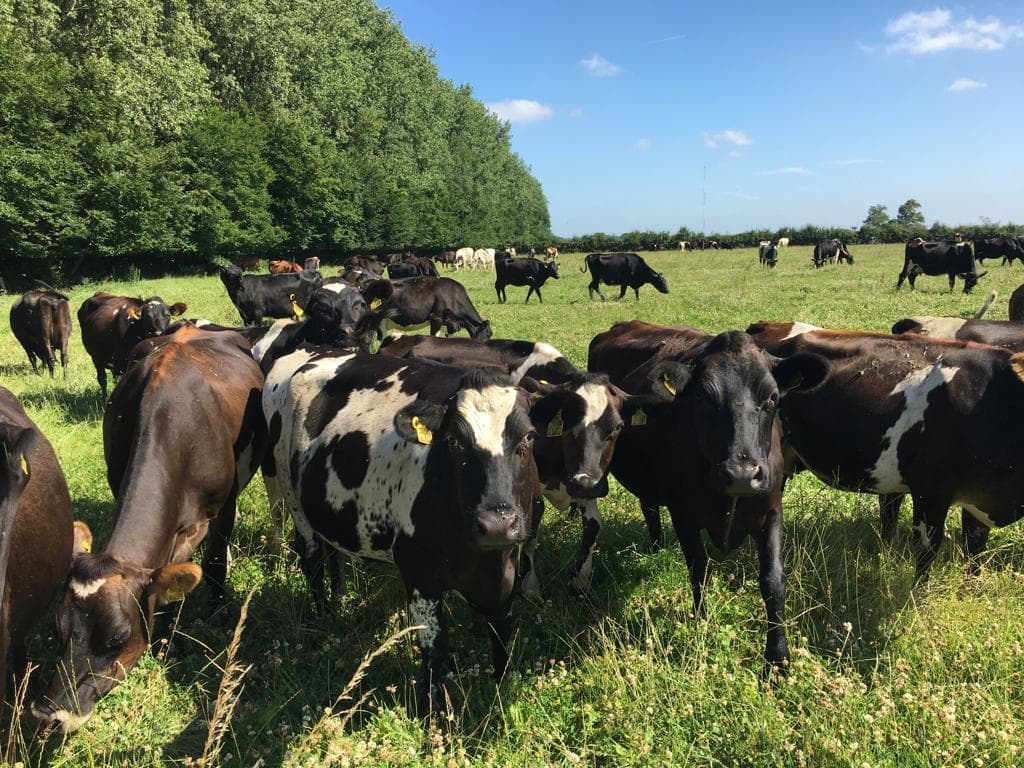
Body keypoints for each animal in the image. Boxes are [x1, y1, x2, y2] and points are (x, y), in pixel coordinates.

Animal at [33, 327, 265, 733]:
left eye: (117, 638)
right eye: (60, 630)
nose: (51, 713)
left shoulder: (219, 507)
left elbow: (210, 565)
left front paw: (201, 620)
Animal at [260, 342, 544, 715]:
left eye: (529, 436)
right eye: (454, 442)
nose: (496, 524)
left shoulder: (507, 566)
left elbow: (500, 631)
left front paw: (500, 687)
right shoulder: (419, 574)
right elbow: (435, 648)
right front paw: (435, 716)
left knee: (333, 555)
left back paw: (338, 603)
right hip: (294, 500)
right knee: (312, 559)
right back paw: (323, 618)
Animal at [378, 334, 633, 590]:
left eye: (617, 427)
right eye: (568, 423)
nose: (585, 483)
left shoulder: (586, 476)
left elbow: (592, 527)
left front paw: (580, 580)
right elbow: (531, 530)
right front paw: (529, 586)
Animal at [588, 320, 819, 669]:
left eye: (772, 398)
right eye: (703, 397)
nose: (741, 474)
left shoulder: (770, 509)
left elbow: (774, 579)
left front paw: (778, 657)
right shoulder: (683, 513)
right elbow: (699, 569)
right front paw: (701, 621)